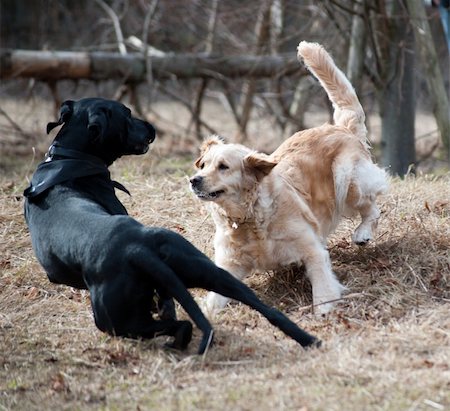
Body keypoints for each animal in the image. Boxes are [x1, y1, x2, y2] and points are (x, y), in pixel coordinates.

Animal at [24, 97, 320, 354]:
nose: (152, 128)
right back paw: (309, 340)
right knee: (267, 309)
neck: (68, 158)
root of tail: (137, 248)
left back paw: (176, 344)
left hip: (115, 320)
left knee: (179, 325)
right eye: (127, 114)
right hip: (211, 271)